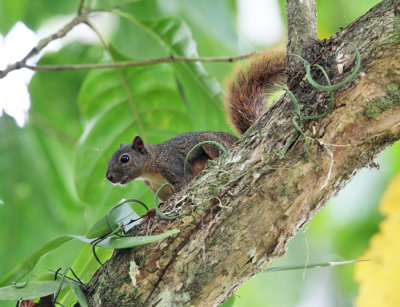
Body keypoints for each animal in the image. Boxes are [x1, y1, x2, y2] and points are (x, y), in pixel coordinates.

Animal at [106, 52, 286, 202]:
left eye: (125, 158)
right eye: (108, 160)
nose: (109, 177)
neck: (151, 169)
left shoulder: (171, 165)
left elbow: (184, 182)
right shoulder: (159, 189)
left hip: (209, 140)